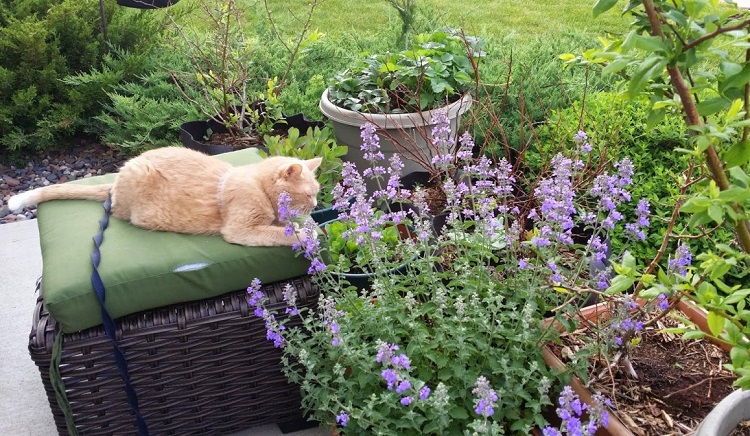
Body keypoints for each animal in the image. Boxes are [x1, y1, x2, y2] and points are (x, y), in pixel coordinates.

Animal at [7, 147, 321, 246]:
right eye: (309, 194)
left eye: (317, 194)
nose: (317, 204)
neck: (257, 184)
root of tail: (116, 180)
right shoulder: (241, 229)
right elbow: (279, 233)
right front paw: (308, 235)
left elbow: (285, 226)